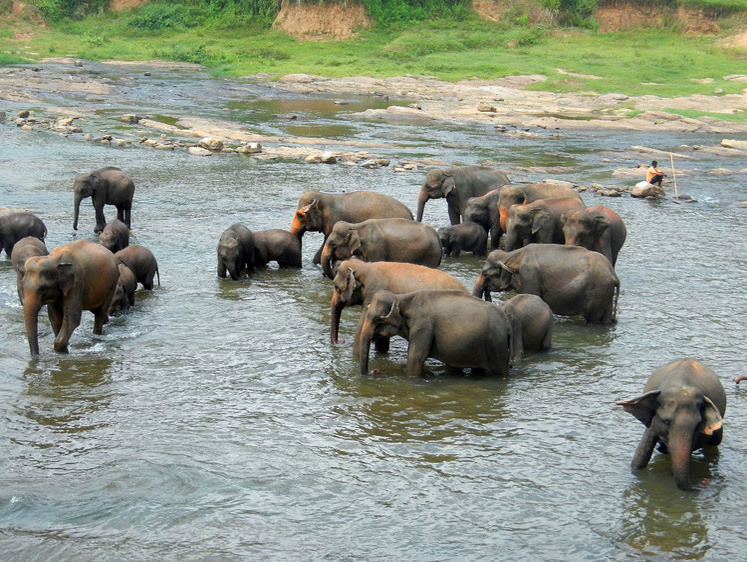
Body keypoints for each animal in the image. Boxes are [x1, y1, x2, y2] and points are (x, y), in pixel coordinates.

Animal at [358, 288, 512, 376]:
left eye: (377, 319)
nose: (374, 372)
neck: (400, 297)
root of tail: (507, 323)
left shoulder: (424, 326)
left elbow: (415, 357)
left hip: (496, 343)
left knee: (500, 371)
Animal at [476, 242, 624, 324]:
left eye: (485, 274)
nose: (487, 295)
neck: (511, 256)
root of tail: (614, 275)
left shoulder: (530, 277)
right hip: (606, 293)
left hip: (598, 293)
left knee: (593, 319)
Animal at [616, 356, 728, 488]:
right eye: (666, 421)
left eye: (697, 425)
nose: (699, 484)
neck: (680, 384)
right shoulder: (654, 420)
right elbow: (640, 457)